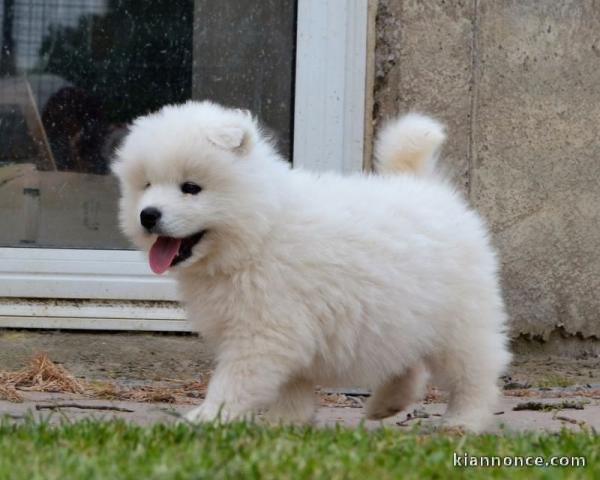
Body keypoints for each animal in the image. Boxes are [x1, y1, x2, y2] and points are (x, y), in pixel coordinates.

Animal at [113, 101, 510, 432]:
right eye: (146, 185)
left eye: (191, 187)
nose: (148, 215)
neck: (260, 229)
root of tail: (431, 189)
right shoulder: (287, 331)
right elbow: (293, 384)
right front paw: (286, 422)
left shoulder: (264, 329)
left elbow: (236, 378)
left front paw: (209, 416)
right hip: (401, 313)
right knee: (407, 361)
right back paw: (386, 404)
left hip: (460, 321)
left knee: (475, 373)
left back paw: (463, 421)